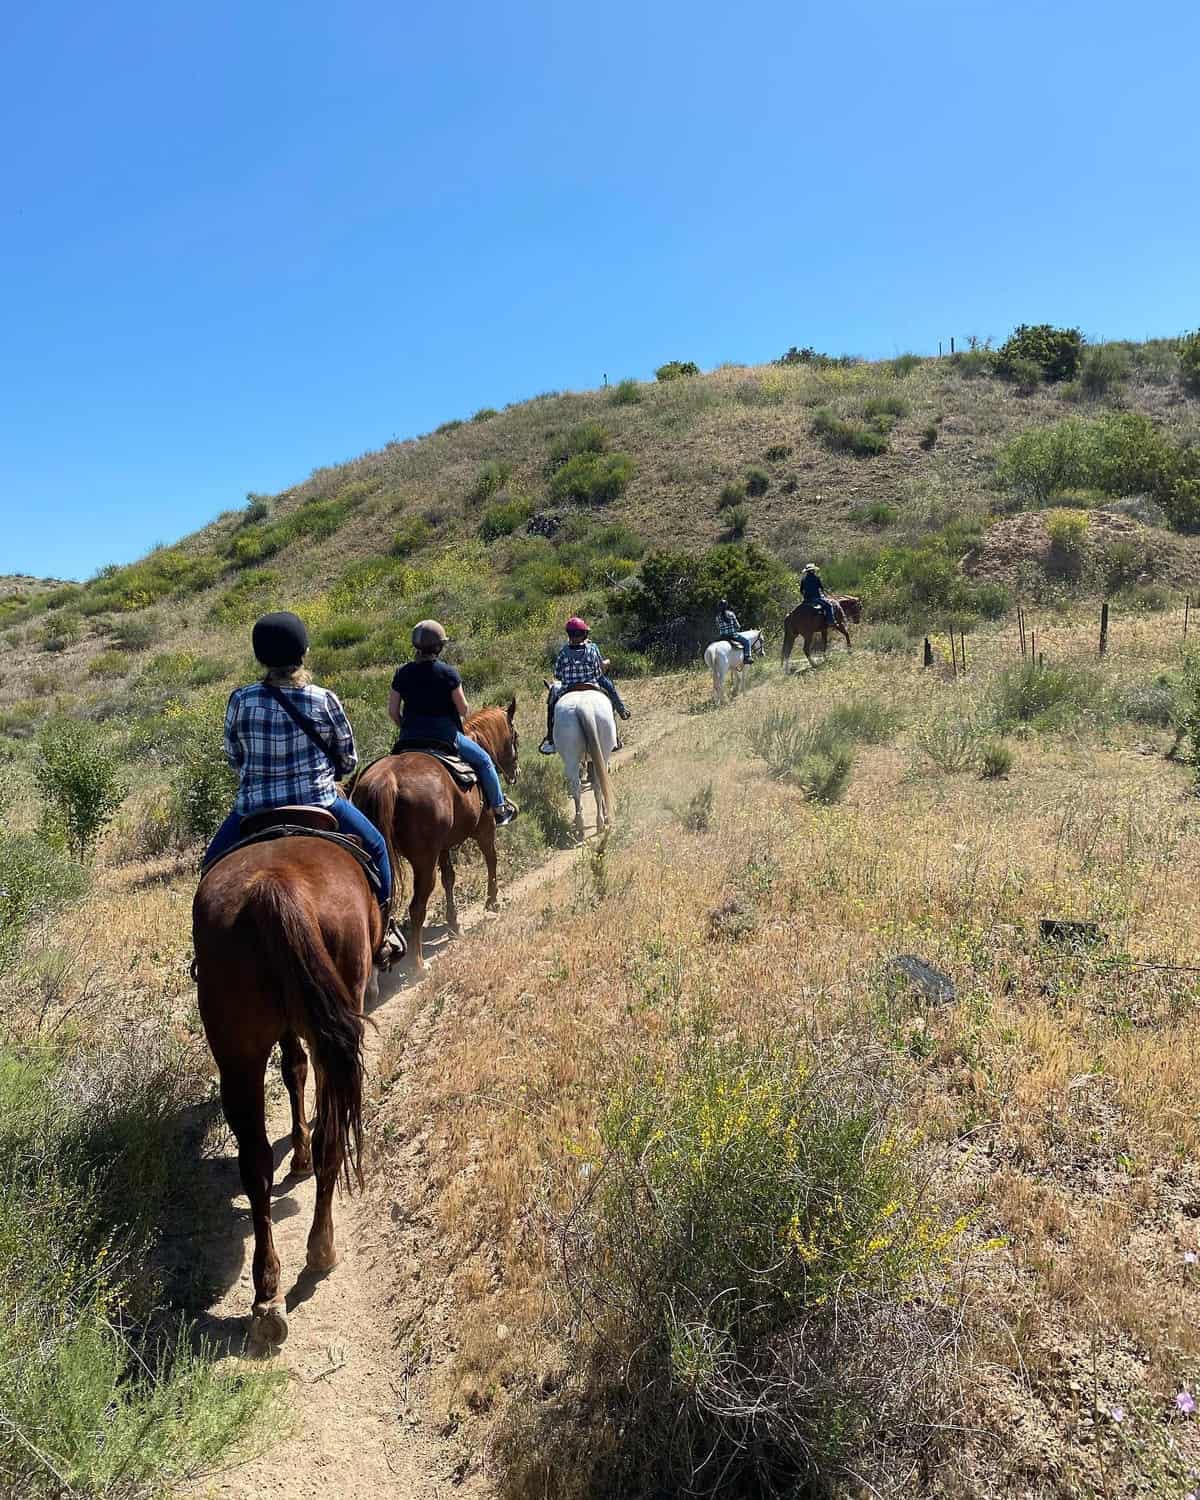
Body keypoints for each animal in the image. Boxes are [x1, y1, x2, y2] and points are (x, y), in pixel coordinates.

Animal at [192, 846, 379, 1350]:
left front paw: (296, 1155)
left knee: (255, 1163)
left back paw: (267, 1297)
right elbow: (298, 1073)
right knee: (331, 1138)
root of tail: (273, 890)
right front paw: (300, 1157)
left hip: (237, 1052)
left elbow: (292, 1069)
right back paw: (321, 1251)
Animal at [346, 696, 516, 966]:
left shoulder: (443, 848)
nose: (515, 772)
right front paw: (492, 901)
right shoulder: (484, 829)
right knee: (416, 907)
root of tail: (386, 780)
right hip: (424, 862)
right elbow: (492, 859)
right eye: (514, 735)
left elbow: (449, 878)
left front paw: (454, 924)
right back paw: (418, 964)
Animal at [552, 690, 618, 846]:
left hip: (571, 759)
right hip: (602, 753)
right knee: (598, 785)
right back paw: (599, 823)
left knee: (578, 789)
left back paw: (581, 827)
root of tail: (584, 706)